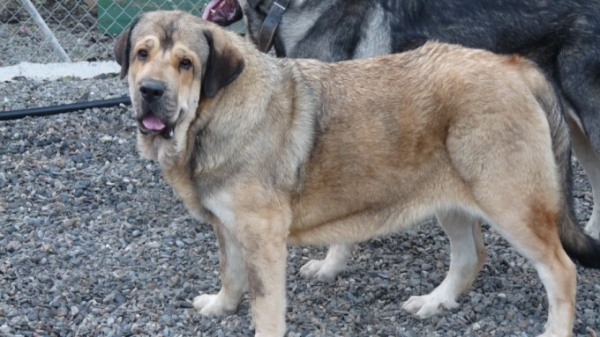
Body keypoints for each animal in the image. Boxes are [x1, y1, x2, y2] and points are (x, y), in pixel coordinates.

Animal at [113, 10, 600, 336]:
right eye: (142, 54)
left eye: (186, 64)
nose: (150, 91)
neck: (212, 115)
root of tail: (517, 67)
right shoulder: (228, 226)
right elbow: (230, 273)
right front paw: (221, 306)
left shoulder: (262, 236)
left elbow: (265, 305)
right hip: (451, 199)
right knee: (469, 256)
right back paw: (436, 302)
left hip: (511, 206)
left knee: (561, 272)